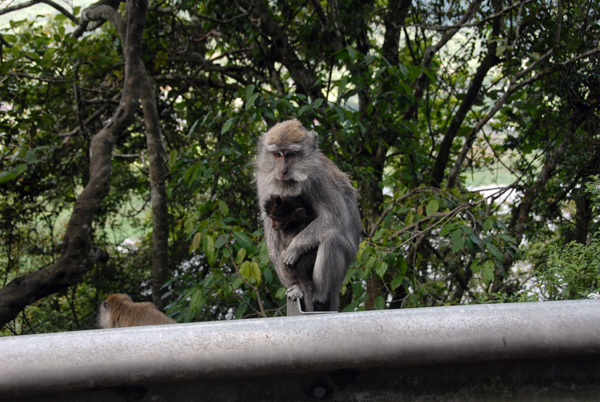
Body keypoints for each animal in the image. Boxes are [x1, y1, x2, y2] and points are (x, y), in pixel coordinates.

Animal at [254, 119, 360, 310]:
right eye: (277, 155)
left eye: (290, 154)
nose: (282, 171)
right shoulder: (263, 178)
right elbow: (269, 228)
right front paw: (275, 252)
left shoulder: (318, 179)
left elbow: (333, 217)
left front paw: (294, 248)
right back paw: (296, 286)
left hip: (345, 260)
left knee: (331, 240)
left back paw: (318, 294)